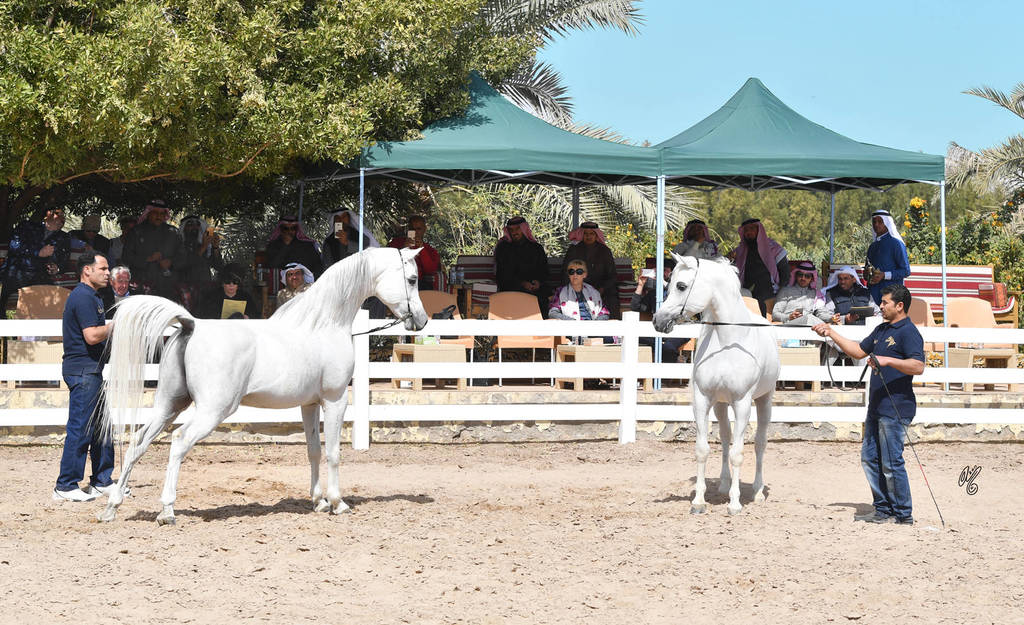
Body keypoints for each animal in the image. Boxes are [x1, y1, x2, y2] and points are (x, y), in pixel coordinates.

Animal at [96, 246, 429, 525]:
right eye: (412, 279)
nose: (422, 321)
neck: (322, 325)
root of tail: (192, 324)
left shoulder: (309, 405)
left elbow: (313, 450)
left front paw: (318, 501)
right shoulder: (335, 400)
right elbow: (333, 452)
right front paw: (338, 503)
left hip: (169, 405)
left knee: (138, 442)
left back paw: (112, 507)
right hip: (211, 411)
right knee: (178, 443)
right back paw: (167, 510)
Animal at [652, 252, 780, 515]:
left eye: (681, 286)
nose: (658, 321)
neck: (728, 342)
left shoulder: (742, 403)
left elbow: (738, 453)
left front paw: (735, 504)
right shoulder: (702, 399)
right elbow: (703, 450)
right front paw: (699, 501)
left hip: (764, 400)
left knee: (759, 443)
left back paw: (758, 491)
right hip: (721, 404)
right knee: (724, 437)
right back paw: (723, 484)